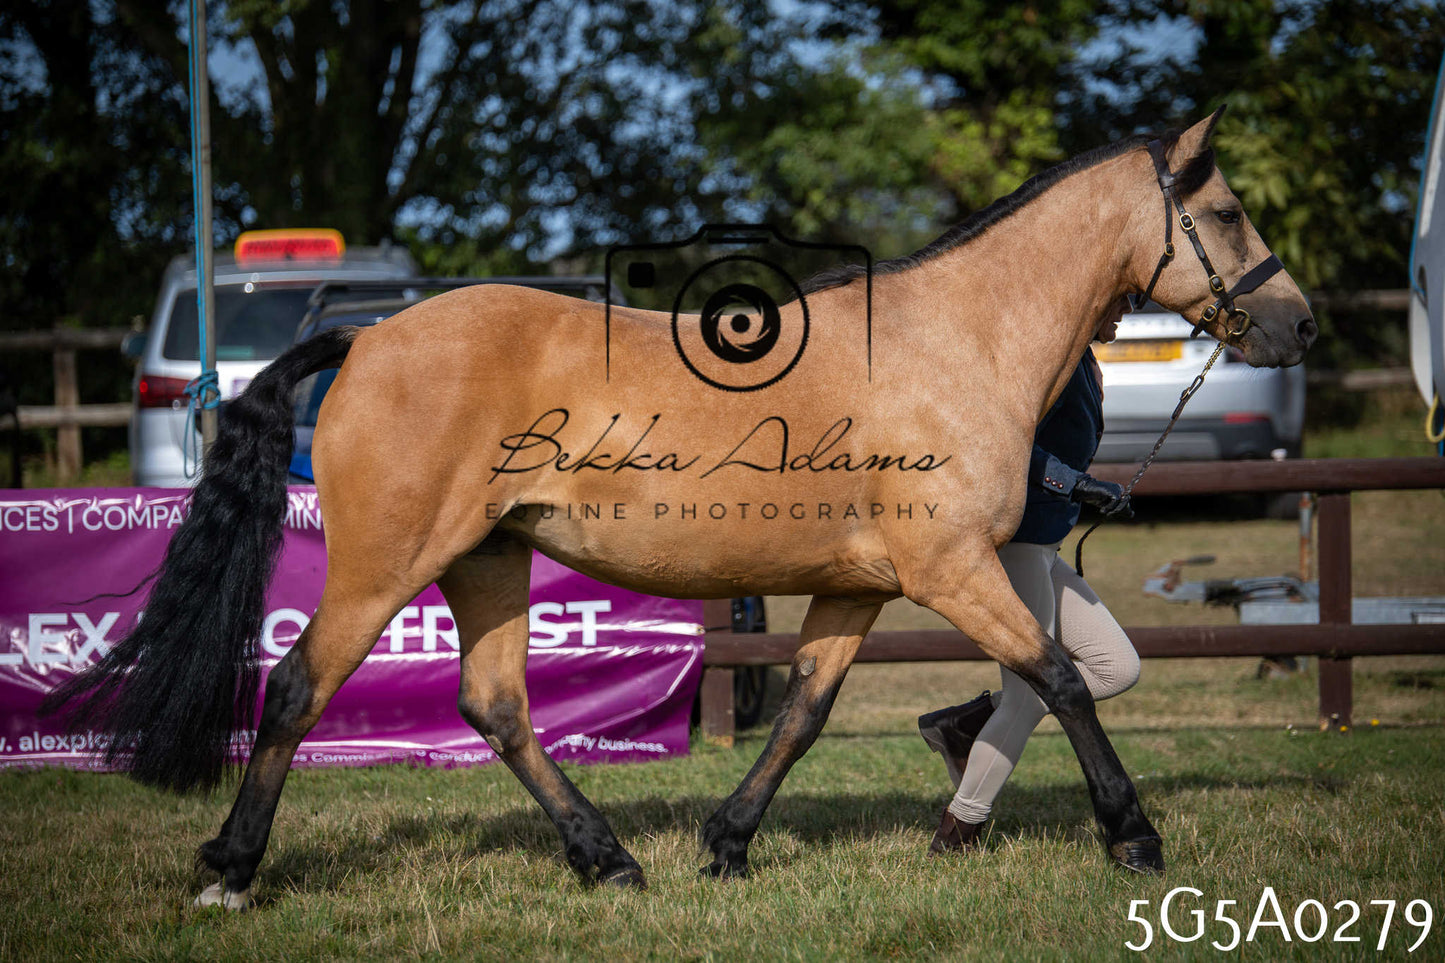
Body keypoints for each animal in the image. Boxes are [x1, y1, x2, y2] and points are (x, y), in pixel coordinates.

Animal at [45, 108, 1315, 907]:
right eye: (1230, 214)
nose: (1297, 324)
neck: (949, 343)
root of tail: (366, 339)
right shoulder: (948, 570)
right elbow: (1055, 678)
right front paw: (1132, 835)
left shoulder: (856, 590)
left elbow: (800, 715)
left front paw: (727, 845)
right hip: (382, 564)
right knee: (299, 690)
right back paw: (229, 870)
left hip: (487, 561)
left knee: (496, 707)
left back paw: (608, 861)